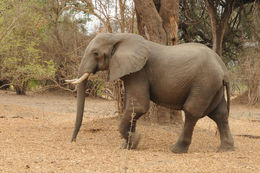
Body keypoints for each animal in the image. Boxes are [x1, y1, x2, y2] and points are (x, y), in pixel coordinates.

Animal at [64, 32, 234, 153]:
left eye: (95, 53)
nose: (73, 141)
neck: (119, 36)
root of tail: (224, 69)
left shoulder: (139, 71)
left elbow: (139, 106)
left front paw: (136, 140)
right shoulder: (132, 71)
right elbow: (131, 106)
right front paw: (127, 146)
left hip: (204, 82)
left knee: (192, 111)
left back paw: (176, 150)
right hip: (213, 86)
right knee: (219, 113)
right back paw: (225, 149)